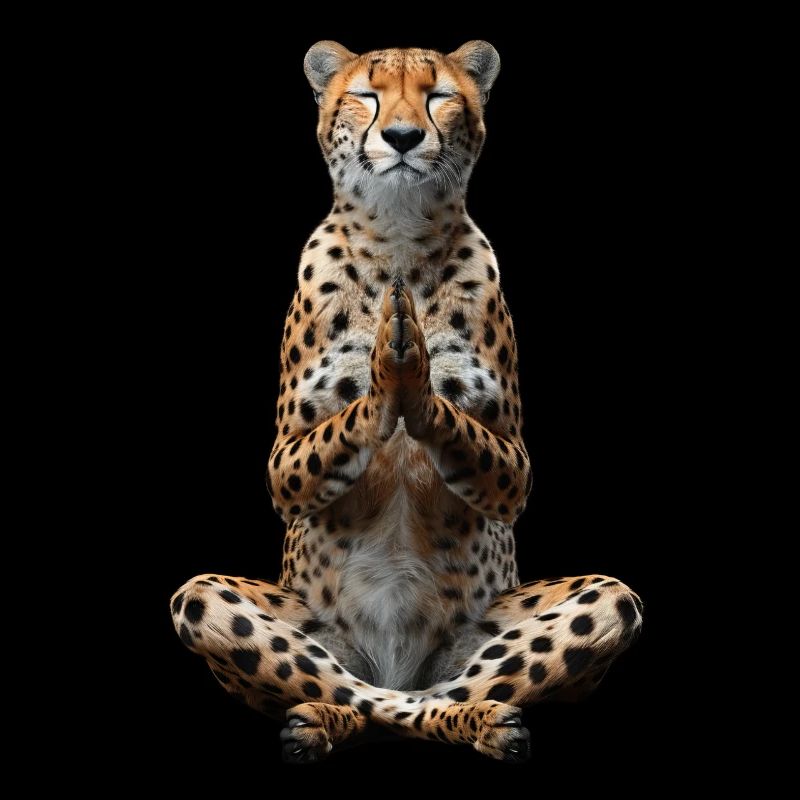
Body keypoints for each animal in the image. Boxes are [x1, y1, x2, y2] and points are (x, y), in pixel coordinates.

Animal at [170, 40, 643, 763]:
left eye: (438, 95)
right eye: (366, 96)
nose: (401, 136)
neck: (398, 235)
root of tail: (399, 670)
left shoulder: (513, 468)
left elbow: (483, 451)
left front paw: (409, 373)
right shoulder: (283, 465)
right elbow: (321, 446)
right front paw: (386, 373)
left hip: (589, 607)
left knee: (447, 690)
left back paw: (477, 722)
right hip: (214, 604)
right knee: (358, 694)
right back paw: (324, 722)